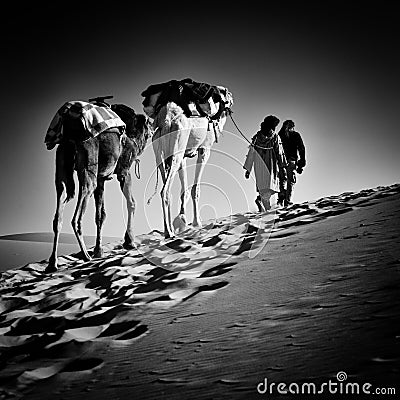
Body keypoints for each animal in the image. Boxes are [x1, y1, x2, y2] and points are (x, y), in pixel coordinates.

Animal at [45, 101, 152, 274]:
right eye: (149, 123)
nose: (153, 128)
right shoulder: (124, 170)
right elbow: (132, 203)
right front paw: (129, 242)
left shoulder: (101, 179)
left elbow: (100, 215)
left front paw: (98, 250)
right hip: (88, 168)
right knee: (76, 217)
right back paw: (85, 256)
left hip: (62, 167)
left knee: (59, 213)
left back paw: (52, 263)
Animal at [144, 85, 233, 238]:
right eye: (224, 93)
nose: (232, 98)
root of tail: (166, 121)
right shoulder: (204, 149)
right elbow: (195, 189)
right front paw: (197, 223)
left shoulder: (184, 155)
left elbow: (184, 190)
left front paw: (182, 221)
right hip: (177, 146)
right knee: (164, 190)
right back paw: (169, 232)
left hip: (160, 149)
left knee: (166, 182)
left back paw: (168, 229)